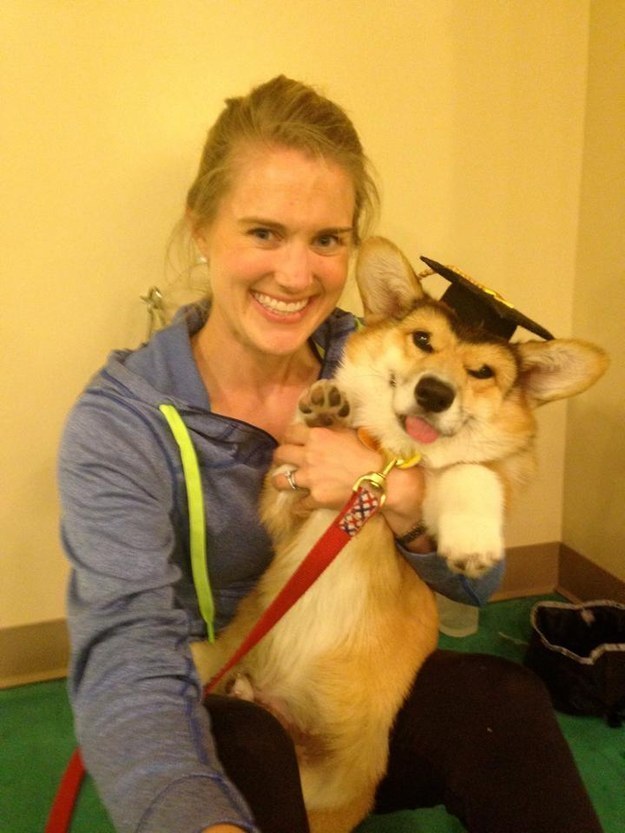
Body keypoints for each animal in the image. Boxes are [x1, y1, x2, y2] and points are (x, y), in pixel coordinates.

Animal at [191, 234, 608, 832]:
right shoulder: (288, 509)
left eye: (482, 373)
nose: (434, 393)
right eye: (423, 340)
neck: (388, 457)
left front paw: (471, 542)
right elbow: (289, 480)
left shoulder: (480, 475)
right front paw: (325, 412)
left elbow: (469, 471)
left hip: (340, 787)